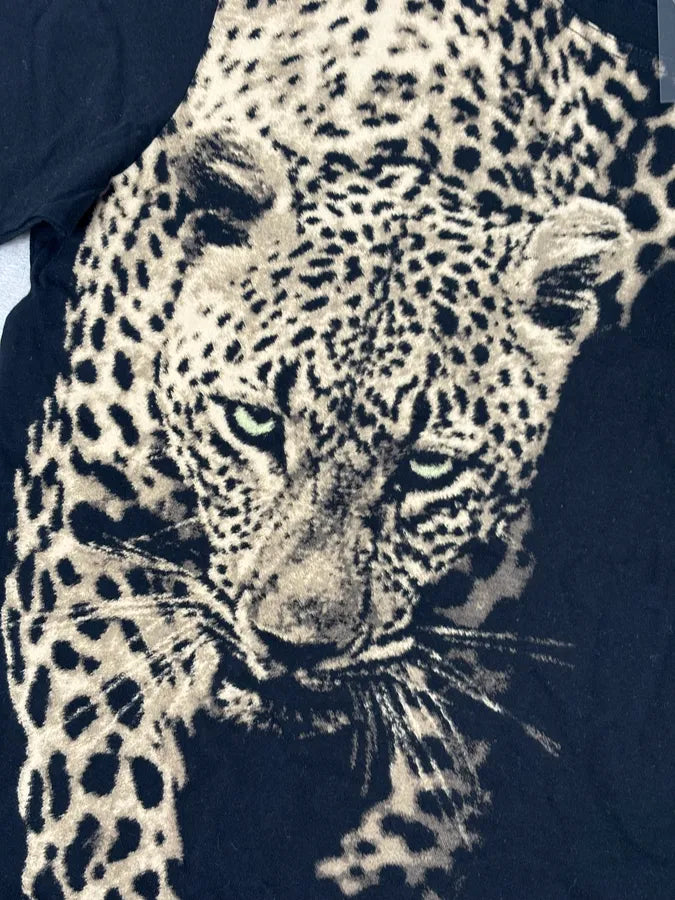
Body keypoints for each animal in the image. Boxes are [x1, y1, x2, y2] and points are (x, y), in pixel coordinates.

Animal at [3, 0, 674, 897]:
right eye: (254, 426)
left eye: (428, 468)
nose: (295, 648)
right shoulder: (83, 515)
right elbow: (99, 776)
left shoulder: (494, 602)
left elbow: (442, 796)